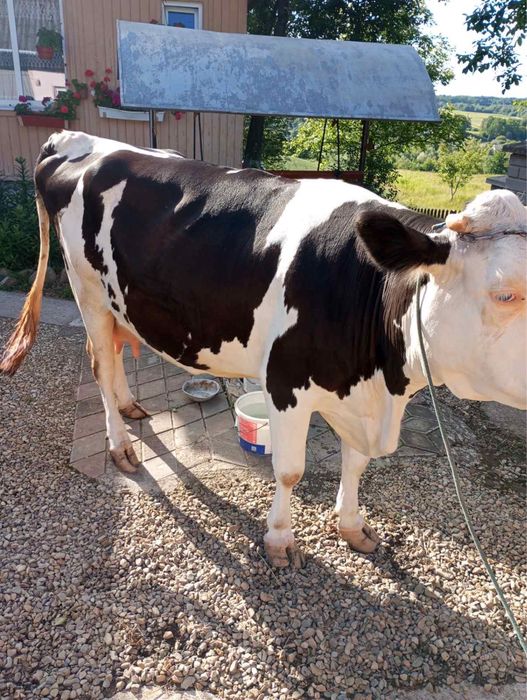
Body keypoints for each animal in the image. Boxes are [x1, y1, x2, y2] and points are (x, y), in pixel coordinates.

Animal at [1, 131, 525, 568]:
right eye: (505, 294)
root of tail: (75, 138)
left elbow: (356, 461)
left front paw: (352, 527)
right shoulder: (286, 383)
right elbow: (290, 470)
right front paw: (279, 540)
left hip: (118, 305)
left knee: (113, 362)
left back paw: (131, 407)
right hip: (88, 292)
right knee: (101, 367)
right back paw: (121, 446)